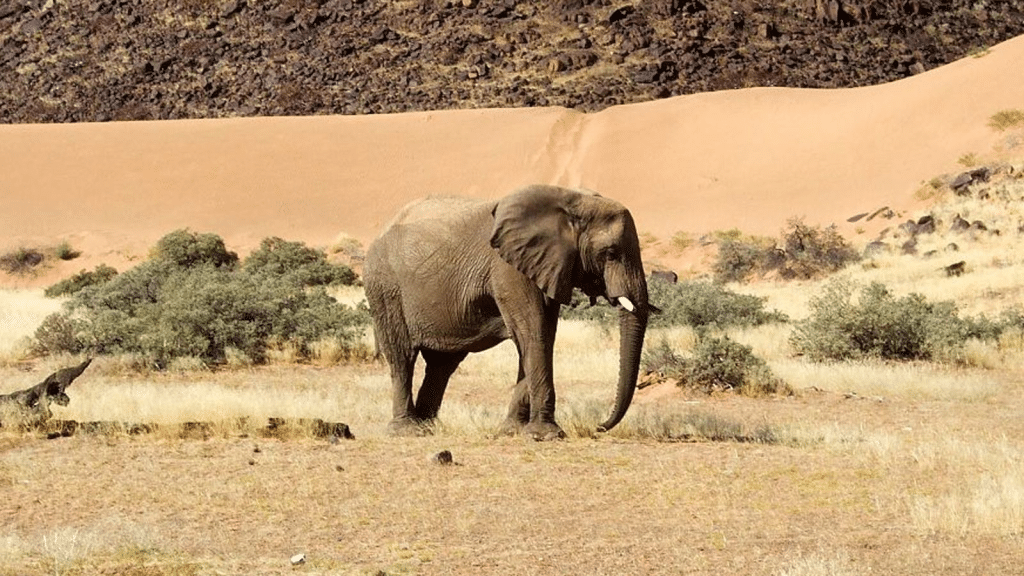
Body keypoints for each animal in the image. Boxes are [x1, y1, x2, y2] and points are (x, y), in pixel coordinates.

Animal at [366, 183, 647, 438]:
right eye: (610, 253)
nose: (600, 426)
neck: (571, 200)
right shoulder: (509, 268)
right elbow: (533, 333)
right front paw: (547, 435)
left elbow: (542, 336)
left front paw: (513, 431)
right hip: (385, 289)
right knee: (402, 356)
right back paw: (407, 430)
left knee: (441, 365)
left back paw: (428, 427)